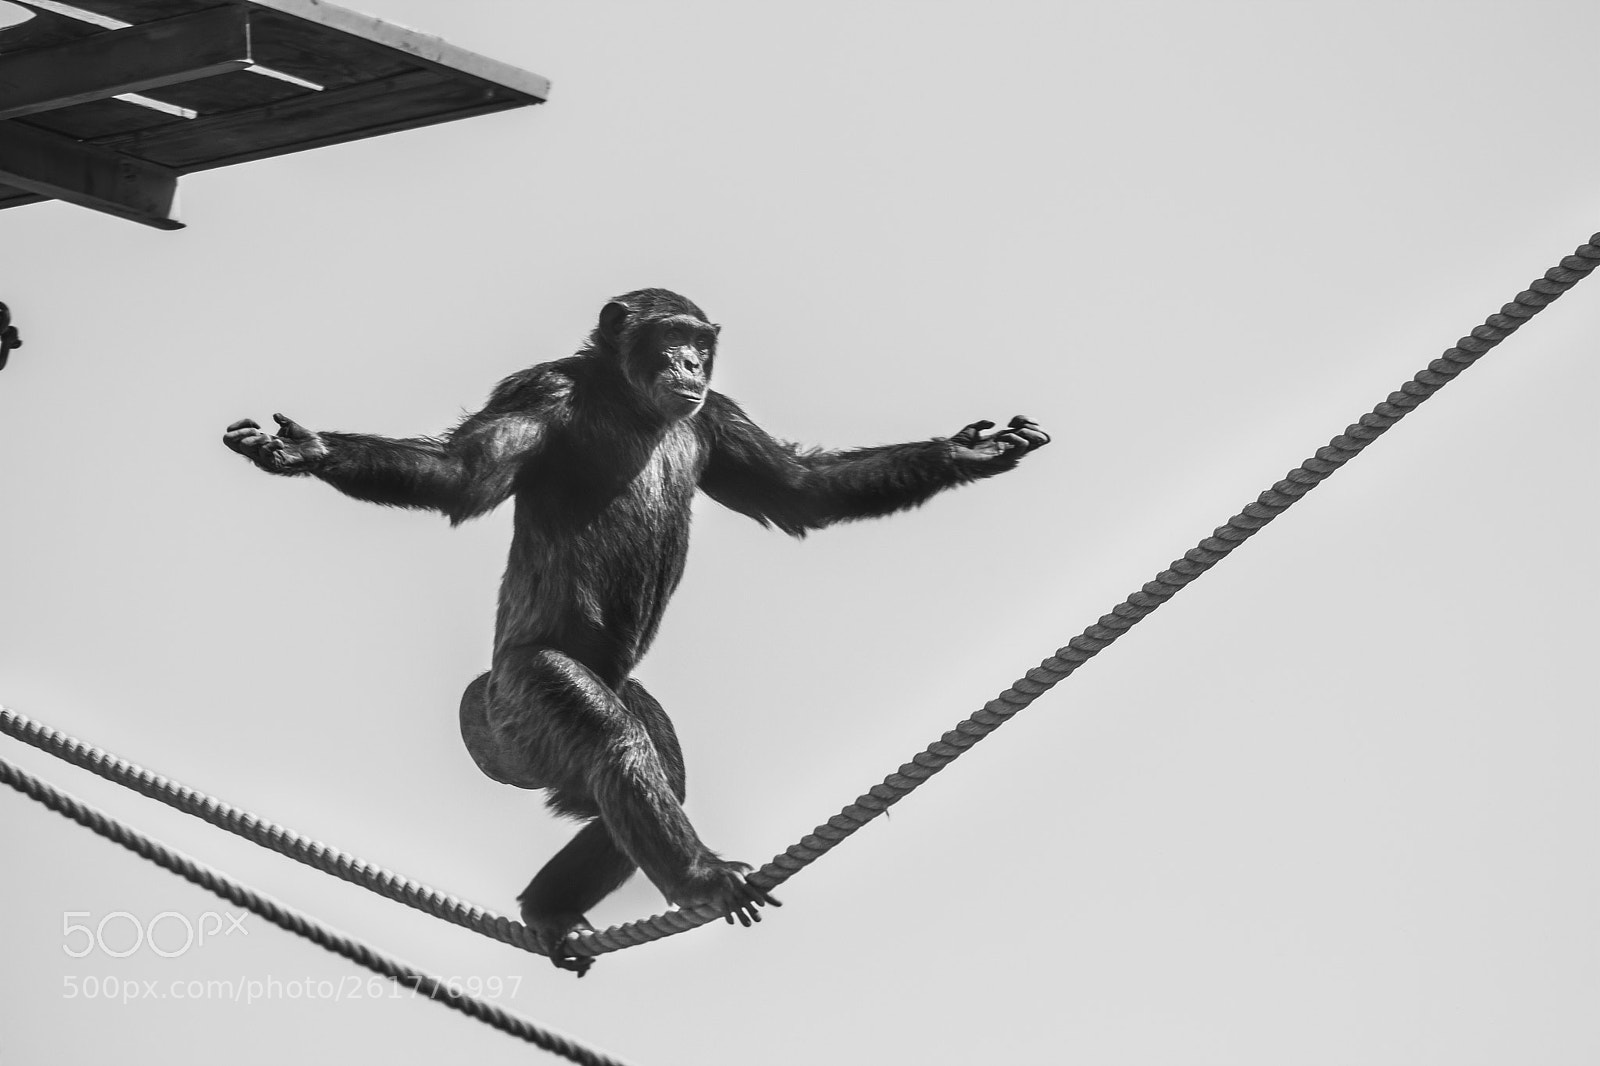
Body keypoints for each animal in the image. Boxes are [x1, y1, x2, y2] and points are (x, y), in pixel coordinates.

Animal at [223, 289, 1049, 974]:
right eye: (671, 336)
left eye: (700, 343)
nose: (689, 361)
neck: (627, 401)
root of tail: (481, 712)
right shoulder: (538, 391)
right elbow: (463, 472)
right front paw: (306, 451)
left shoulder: (720, 414)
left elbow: (799, 488)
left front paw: (969, 451)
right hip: (517, 703)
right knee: (614, 744)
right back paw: (699, 880)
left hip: (592, 707)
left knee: (647, 772)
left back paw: (550, 907)